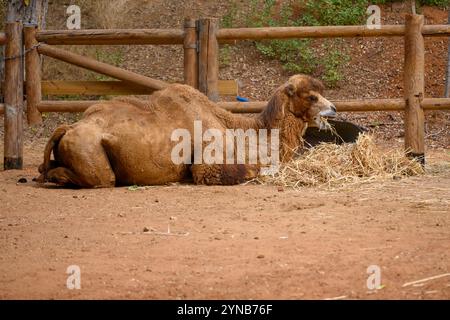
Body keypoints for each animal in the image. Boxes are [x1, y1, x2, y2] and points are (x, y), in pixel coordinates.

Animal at [37, 73, 336, 186]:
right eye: (312, 97)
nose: (332, 108)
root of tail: (68, 128)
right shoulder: (206, 165)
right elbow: (251, 169)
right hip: (90, 152)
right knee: (101, 178)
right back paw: (57, 178)